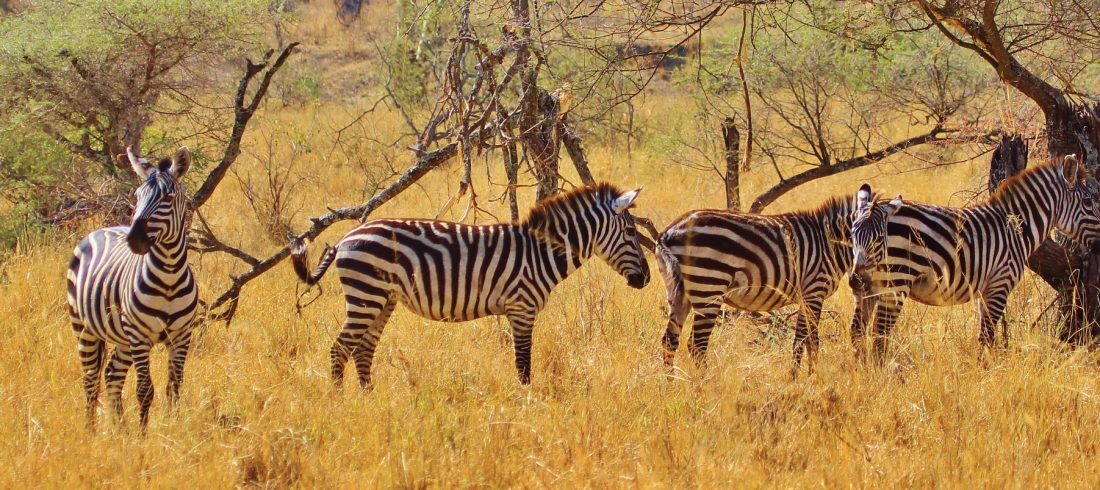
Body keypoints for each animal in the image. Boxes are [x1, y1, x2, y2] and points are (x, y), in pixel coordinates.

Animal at [66, 147, 198, 430]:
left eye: (168, 197)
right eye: (137, 196)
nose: (134, 240)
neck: (169, 276)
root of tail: (102, 229)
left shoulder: (181, 335)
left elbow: (174, 387)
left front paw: (171, 428)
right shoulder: (140, 335)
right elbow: (145, 390)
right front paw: (143, 435)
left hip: (123, 338)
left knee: (112, 375)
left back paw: (120, 429)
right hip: (84, 328)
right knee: (90, 379)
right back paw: (91, 430)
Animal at [291, 182, 650, 388]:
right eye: (631, 233)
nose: (645, 279)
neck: (541, 252)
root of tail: (345, 237)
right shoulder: (521, 308)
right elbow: (524, 365)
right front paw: (526, 406)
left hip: (383, 299)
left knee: (363, 350)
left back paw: (369, 400)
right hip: (366, 294)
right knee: (340, 349)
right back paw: (339, 401)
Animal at [655, 194, 867, 374]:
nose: (857, 282)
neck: (830, 243)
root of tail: (668, 232)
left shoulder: (805, 297)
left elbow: (801, 340)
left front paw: (799, 377)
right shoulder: (814, 291)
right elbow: (810, 340)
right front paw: (810, 378)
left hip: (678, 291)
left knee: (669, 340)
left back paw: (672, 383)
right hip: (709, 285)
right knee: (697, 344)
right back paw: (706, 383)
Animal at [848, 155, 1100, 362]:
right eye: (1089, 203)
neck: (1016, 229)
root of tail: (878, 208)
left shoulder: (984, 291)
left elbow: (986, 336)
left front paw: (986, 368)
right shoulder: (1000, 284)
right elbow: (986, 336)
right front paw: (984, 375)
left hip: (868, 285)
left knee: (857, 332)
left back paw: (862, 372)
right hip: (896, 282)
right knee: (880, 334)